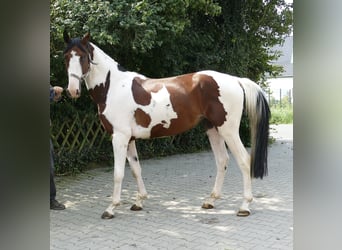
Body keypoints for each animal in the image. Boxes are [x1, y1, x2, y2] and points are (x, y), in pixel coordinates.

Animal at [62, 31, 270, 219]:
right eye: (66, 57)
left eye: (82, 57)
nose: (72, 90)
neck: (113, 87)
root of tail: (236, 80)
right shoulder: (129, 139)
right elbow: (136, 170)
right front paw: (139, 202)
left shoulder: (119, 138)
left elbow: (118, 173)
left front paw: (111, 208)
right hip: (213, 129)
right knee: (222, 160)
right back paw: (211, 201)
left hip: (228, 130)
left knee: (244, 160)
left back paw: (244, 206)